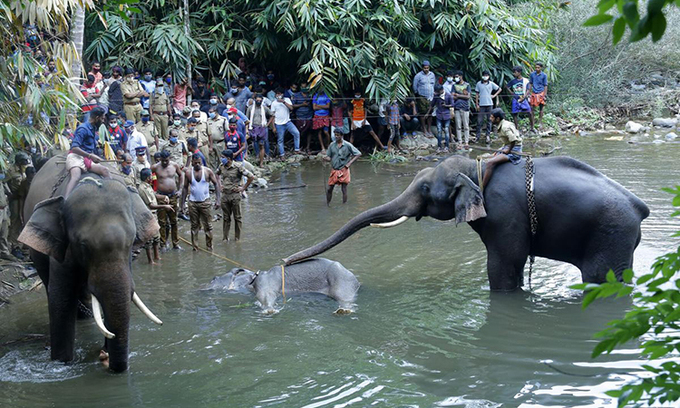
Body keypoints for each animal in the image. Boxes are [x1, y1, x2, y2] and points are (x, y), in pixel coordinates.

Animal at [18, 155, 163, 372]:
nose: (106, 358)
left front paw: (104, 353)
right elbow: (61, 300)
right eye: (83, 245)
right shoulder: (64, 249)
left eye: (131, 241)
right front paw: (62, 363)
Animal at [284, 155, 652, 292]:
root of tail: (640, 208)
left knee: (602, 279)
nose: (286, 261)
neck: (480, 167)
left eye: (426, 189)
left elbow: (505, 263)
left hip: (611, 233)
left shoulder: (505, 213)